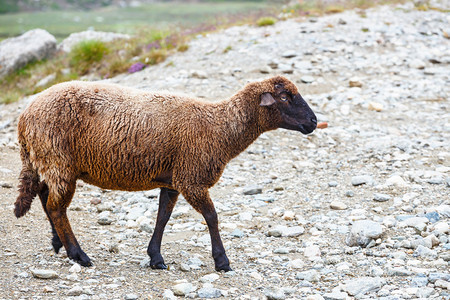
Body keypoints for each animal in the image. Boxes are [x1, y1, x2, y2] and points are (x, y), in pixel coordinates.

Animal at [14, 75, 316, 272]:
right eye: (285, 97)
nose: (314, 122)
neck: (219, 128)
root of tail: (24, 116)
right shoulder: (191, 178)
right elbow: (212, 217)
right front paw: (222, 261)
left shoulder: (172, 180)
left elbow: (163, 217)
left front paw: (156, 258)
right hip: (58, 160)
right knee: (56, 208)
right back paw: (78, 255)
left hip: (48, 162)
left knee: (45, 198)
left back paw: (58, 244)